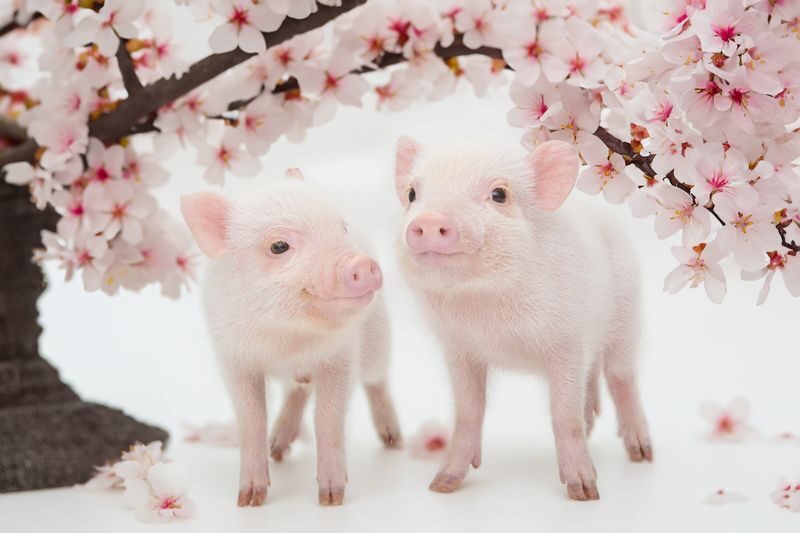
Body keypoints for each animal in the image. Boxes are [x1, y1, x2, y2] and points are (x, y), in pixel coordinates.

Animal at [180, 173, 401, 507]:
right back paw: (277, 449)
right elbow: (252, 420)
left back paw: (393, 441)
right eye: (279, 246)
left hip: (378, 334)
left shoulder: (341, 357)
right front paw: (249, 500)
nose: (362, 263)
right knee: (298, 391)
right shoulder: (234, 359)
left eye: (342, 227)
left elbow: (327, 418)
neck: (288, 343)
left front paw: (331, 499)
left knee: (376, 379)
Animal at [393, 137, 652, 501]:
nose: (429, 220)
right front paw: (442, 484)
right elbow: (468, 411)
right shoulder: (458, 347)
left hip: (628, 312)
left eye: (499, 194)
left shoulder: (568, 341)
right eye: (413, 194)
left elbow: (564, 415)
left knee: (621, 376)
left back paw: (642, 455)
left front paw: (585, 493)